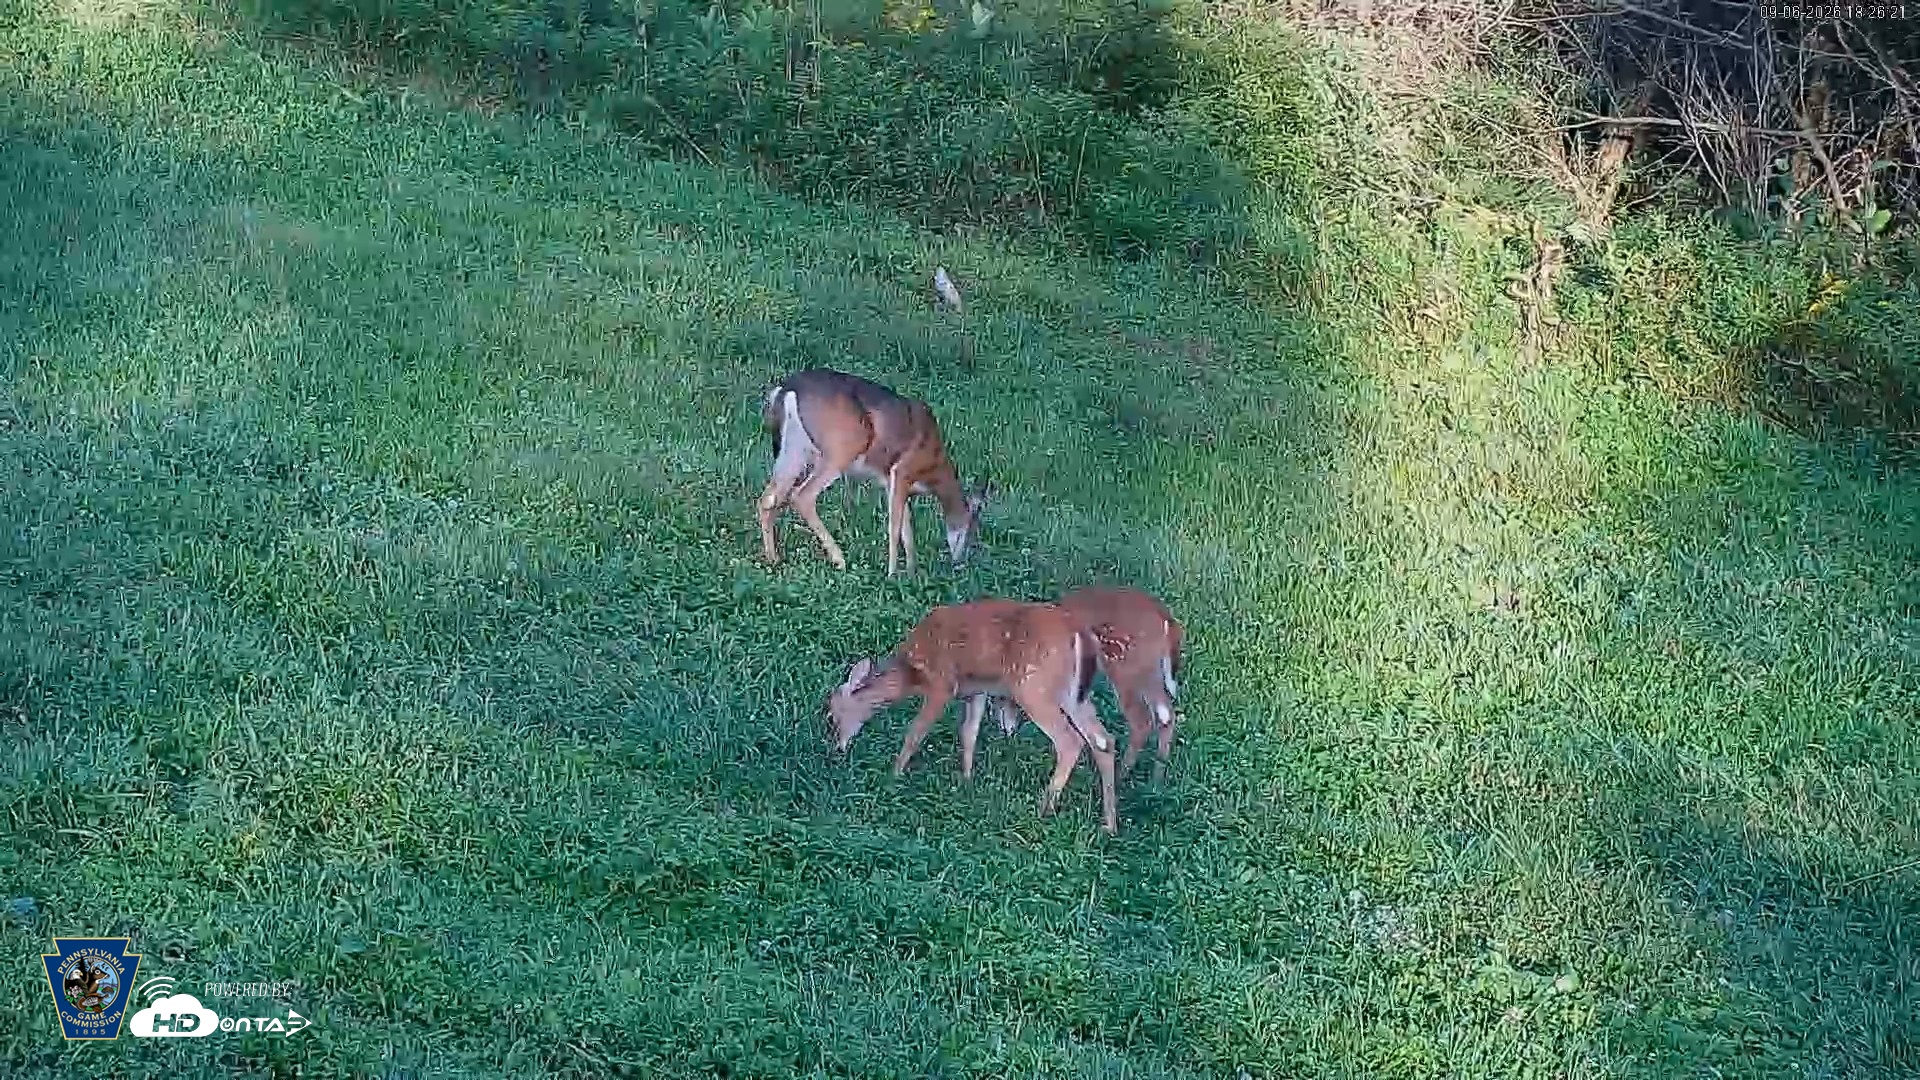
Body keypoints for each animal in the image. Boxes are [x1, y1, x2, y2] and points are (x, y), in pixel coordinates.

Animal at [758, 368, 989, 576]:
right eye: (971, 530)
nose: (959, 562)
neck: (934, 467)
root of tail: (786, 389)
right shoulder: (902, 469)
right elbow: (895, 527)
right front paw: (892, 574)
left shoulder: (891, 481)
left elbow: (906, 527)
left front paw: (912, 572)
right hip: (842, 446)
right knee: (802, 495)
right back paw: (840, 560)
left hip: (794, 449)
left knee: (768, 498)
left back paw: (773, 559)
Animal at [825, 598, 1122, 835]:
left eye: (830, 716)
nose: (836, 748)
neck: (911, 672)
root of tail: (1080, 634)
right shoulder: (976, 690)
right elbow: (969, 733)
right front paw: (966, 781)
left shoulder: (942, 683)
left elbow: (915, 733)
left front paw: (894, 775)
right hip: (1074, 695)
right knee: (1103, 740)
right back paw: (1109, 824)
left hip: (1033, 686)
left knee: (1070, 741)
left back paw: (1044, 809)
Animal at [977, 586, 1184, 782]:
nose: (1007, 733)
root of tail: (1163, 614)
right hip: (1149, 669)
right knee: (1165, 713)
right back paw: (1157, 778)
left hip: (1125, 669)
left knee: (1142, 720)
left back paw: (1123, 774)